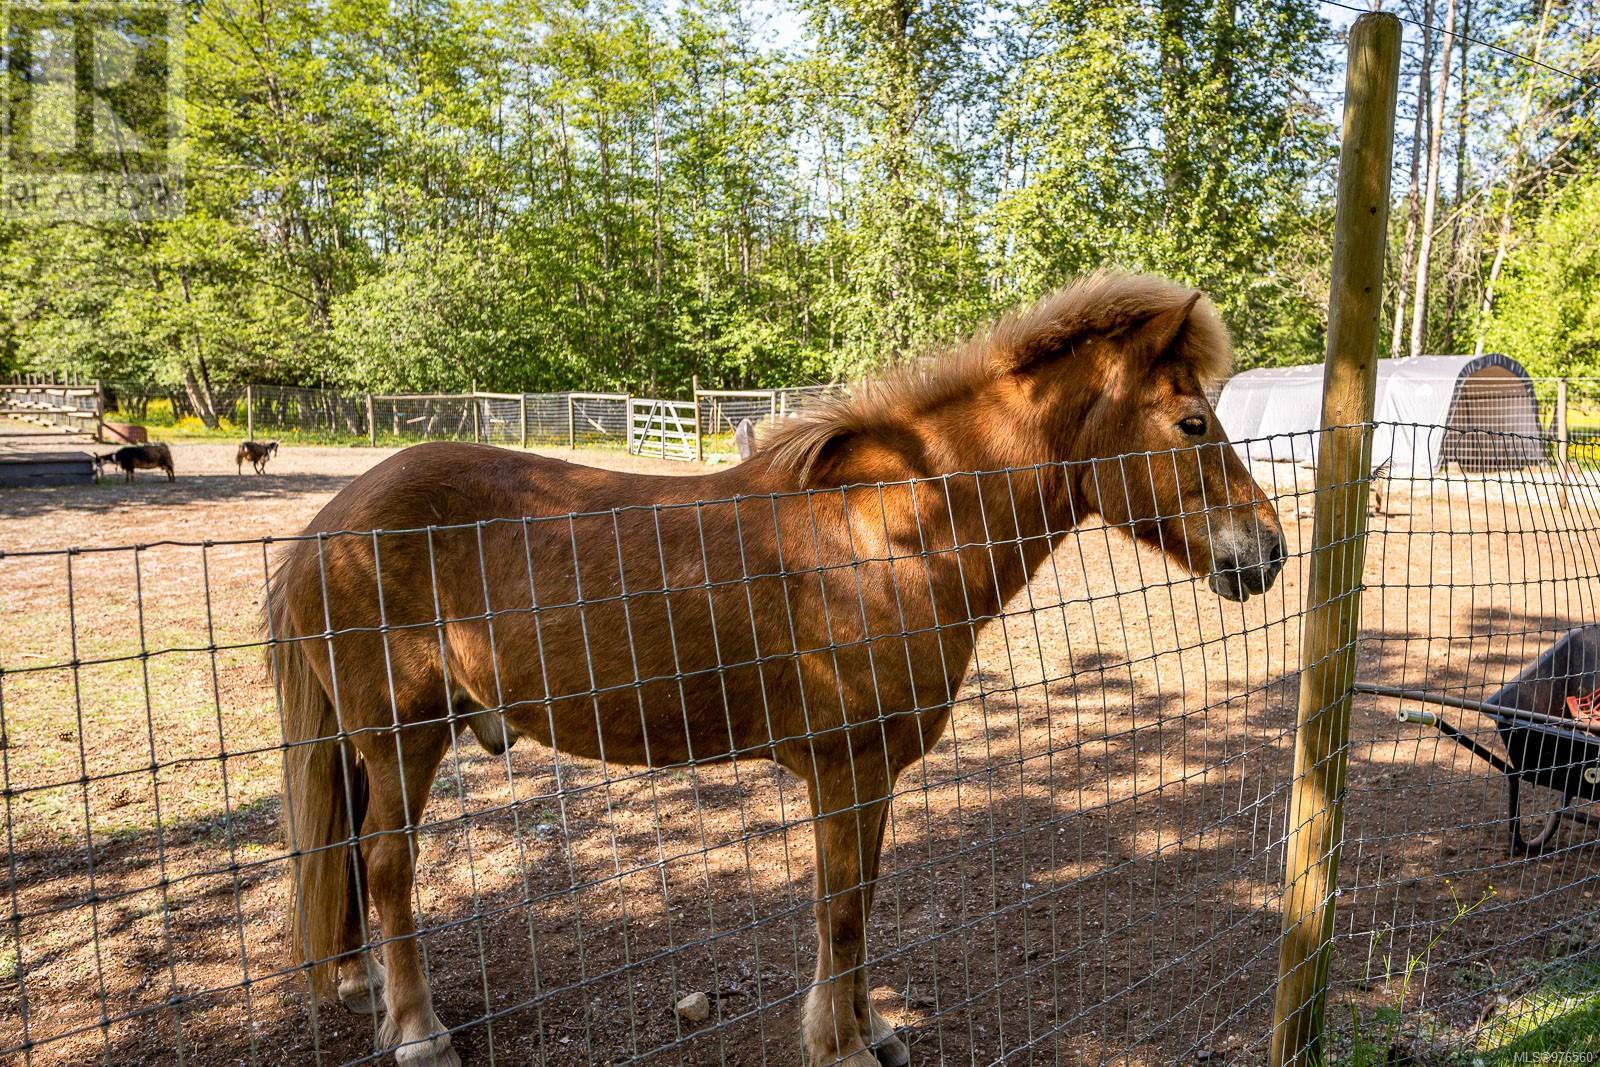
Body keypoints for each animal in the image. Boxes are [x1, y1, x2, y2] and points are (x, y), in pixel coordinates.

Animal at [268, 271, 1280, 1062]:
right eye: (1193, 422)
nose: (1266, 550)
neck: (894, 529)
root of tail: (329, 523)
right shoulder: (844, 767)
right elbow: (840, 907)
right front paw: (841, 1044)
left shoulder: (873, 775)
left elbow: (862, 896)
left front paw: (872, 1029)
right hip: (403, 741)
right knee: (387, 866)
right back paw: (417, 1030)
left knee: (355, 862)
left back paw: (361, 986)